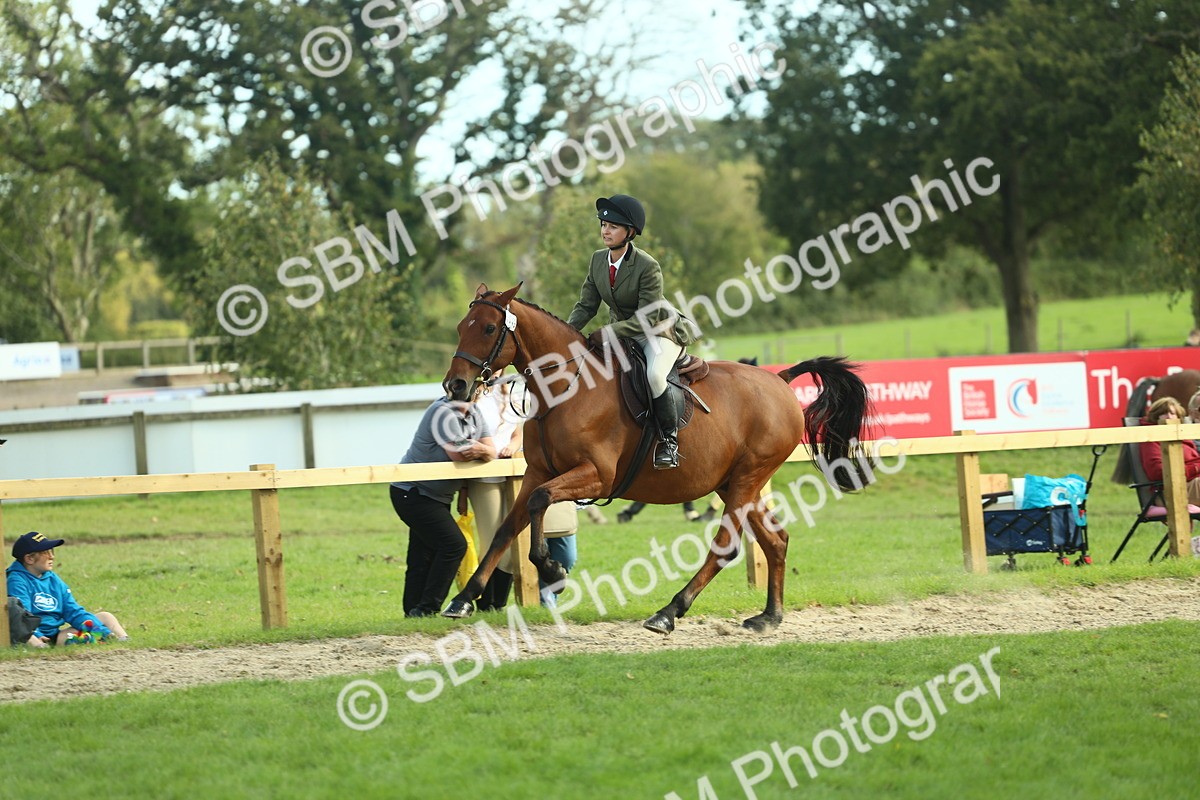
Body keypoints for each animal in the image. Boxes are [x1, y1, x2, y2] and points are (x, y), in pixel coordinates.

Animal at [440, 283, 871, 633]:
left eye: (489, 329)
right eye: (461, 326)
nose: (456, 385)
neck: (566, 388)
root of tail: (778, 380)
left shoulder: (595, 476)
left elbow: (539, 502)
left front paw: (551, 568)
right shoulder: (538, 472)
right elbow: (508, 527)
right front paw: (463, 599)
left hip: (747, 477)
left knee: (726, 545)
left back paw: (669, 612)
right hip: (737, 482)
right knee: (776, 540)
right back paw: (769, 616)